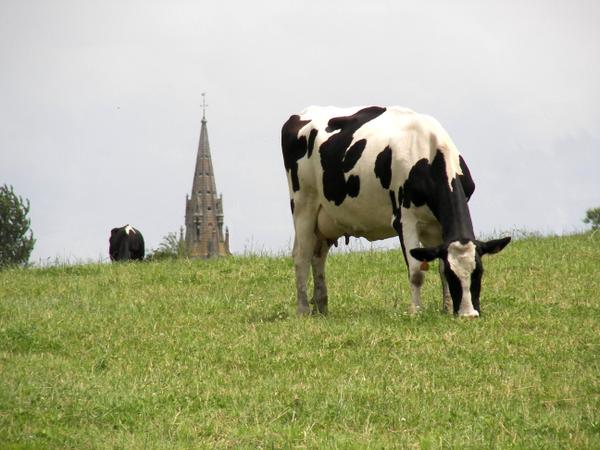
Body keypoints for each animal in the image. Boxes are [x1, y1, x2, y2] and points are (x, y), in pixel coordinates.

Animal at [282, 105, 510, 316]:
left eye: (479, 272)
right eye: (455, 276)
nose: (469, 314)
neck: (430, 153)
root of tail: (303, 113)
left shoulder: (437, 226)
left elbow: (439, 265)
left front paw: (446, 308)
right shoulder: (405, 219)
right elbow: (417, 272)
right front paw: (416, 311)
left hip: (327, 220)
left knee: (318, 255)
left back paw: (321, 307)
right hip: (303, 204)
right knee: (301, 255)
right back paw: (303, 309)